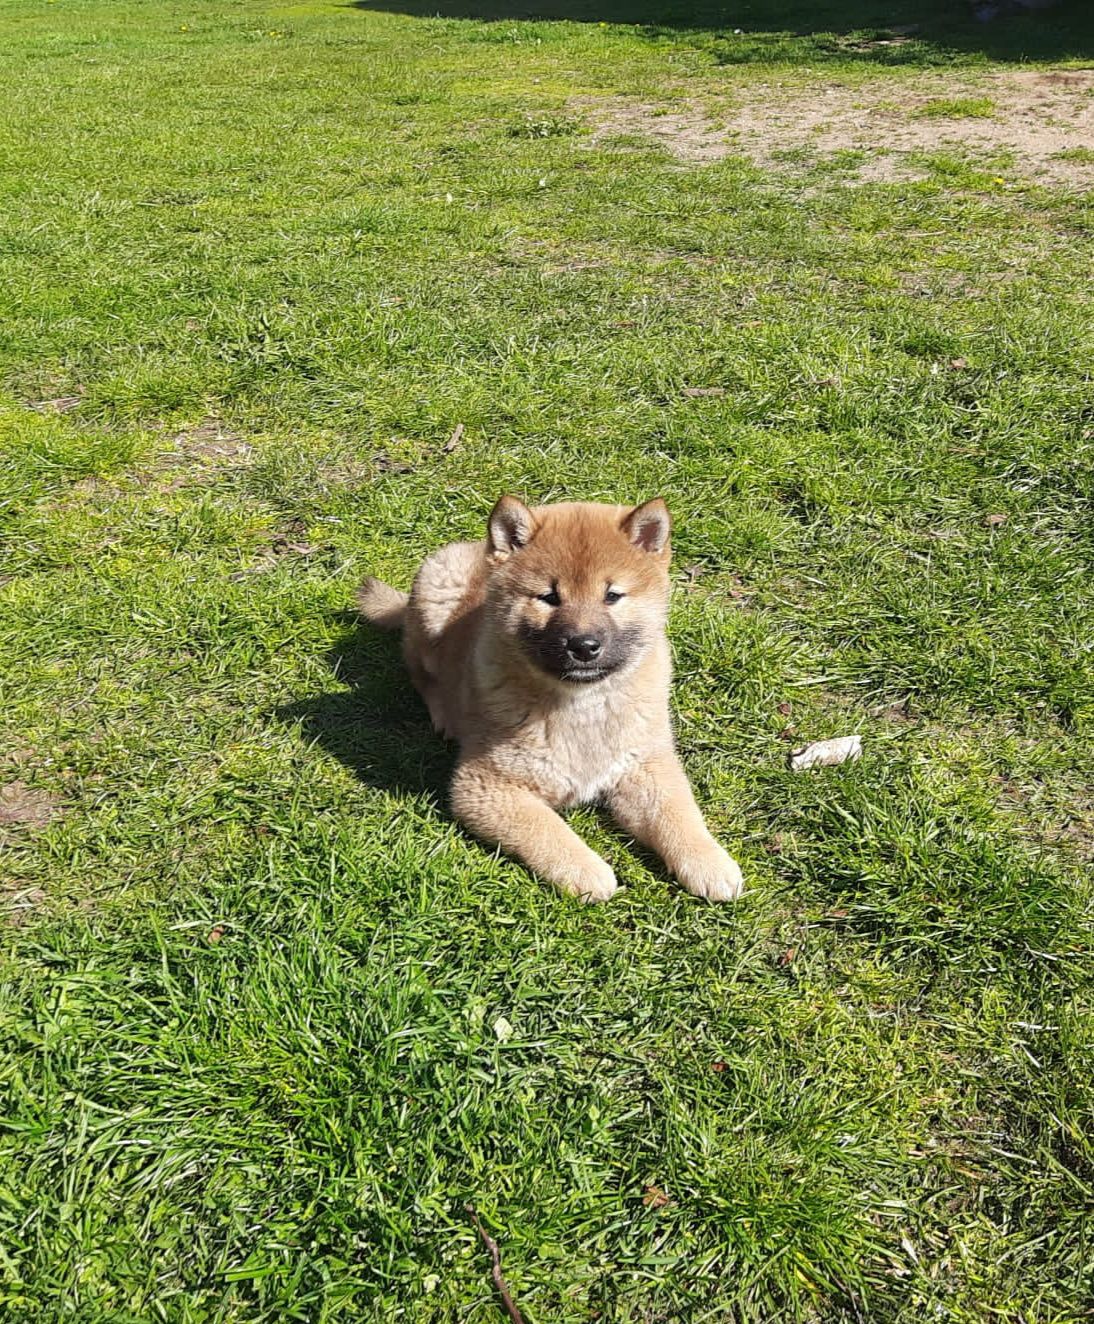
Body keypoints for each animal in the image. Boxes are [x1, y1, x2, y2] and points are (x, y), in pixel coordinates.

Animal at [354, 500, 741, 905]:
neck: (583, 705)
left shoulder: (645, 765)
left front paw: (709, 861)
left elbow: (679, 814)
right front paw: (586, 870)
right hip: (436, 595)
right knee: (420, 670)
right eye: (550, 597)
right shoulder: (486, 786)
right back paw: (443, 713)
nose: (584, 645)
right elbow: (548, 830)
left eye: (612, 595)